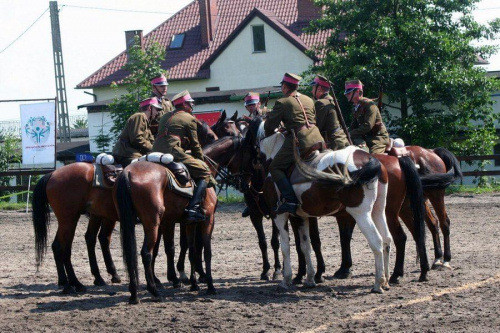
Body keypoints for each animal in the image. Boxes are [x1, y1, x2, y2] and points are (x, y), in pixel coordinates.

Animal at [31, 118, 217, 292]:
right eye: (209, 135)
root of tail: (52, 174)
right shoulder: (173, 220)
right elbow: (177, 247)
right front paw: (180, 277)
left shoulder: (169, 221)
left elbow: (170, 247)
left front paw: (170, 277)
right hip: (71, 218)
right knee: (62, 246)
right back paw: (72, 283)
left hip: (91, 217)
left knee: (88, 240)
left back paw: (89, 279)